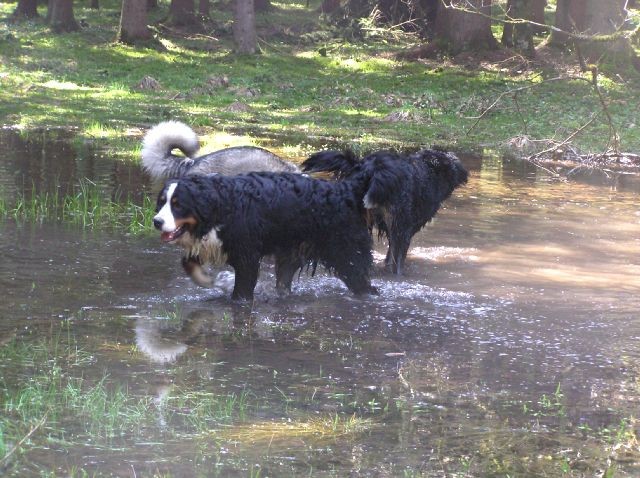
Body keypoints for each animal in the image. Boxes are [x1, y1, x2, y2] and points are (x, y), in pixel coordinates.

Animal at [152, 162, 402, 300]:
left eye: (178, 205)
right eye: (162, 202)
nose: (156, 221)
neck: (221, 206)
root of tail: (346, 188)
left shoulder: (247, 257)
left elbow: (241, 292)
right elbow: (188, 263)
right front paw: (210, 280)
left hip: (347, 255)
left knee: (364, 285)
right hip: (290, 256)